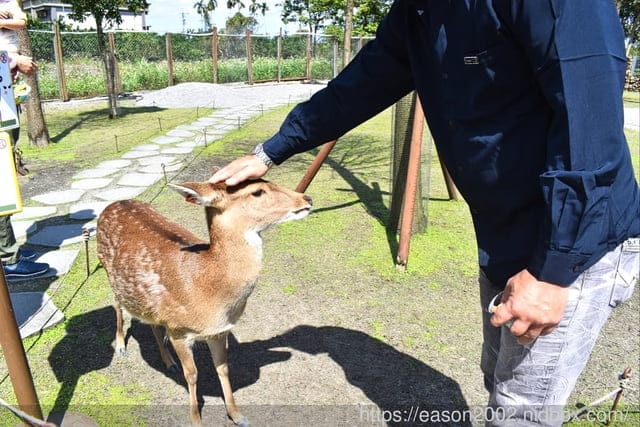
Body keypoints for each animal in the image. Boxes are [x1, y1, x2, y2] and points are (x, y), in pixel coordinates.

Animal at [96, 177, 312, 426]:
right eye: (257, 192)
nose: (307, 198)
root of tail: (113, 204)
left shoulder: (219, 331)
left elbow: (223, 368)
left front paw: (237, 415)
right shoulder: (178, 330)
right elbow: (192, 374)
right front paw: (196, 419)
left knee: (150, 322)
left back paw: (168, 361)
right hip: (108, 272)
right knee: (117, 306)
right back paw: (121, 346)